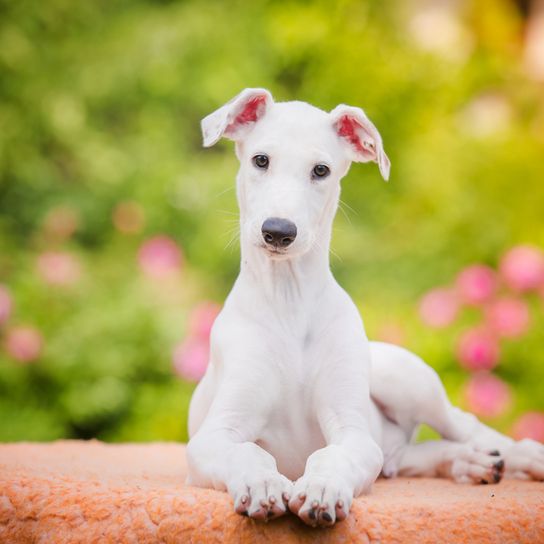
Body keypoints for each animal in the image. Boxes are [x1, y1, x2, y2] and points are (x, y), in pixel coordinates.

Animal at [186, 88, 544, 528]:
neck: (289, 300)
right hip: (395, 445)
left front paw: (323, 489)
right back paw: (470, 463)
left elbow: (332, 455)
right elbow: (247, 451)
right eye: (260, 160)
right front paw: (262, 484)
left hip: (408, 380)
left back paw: (521, 455)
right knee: (414, 456)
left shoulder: (353, 431)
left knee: (466, 424)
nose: (278, 231)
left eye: (321, 170)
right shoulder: (214, 434)